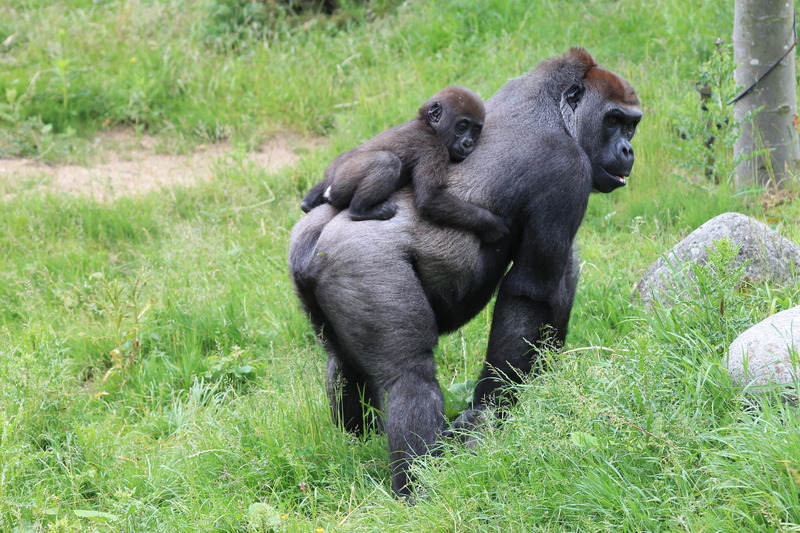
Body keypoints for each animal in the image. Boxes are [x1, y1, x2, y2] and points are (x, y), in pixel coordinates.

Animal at [300, 86, 508, 243]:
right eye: (462, 127)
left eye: (476, 130)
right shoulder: (432, 148)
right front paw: (492, 224)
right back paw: (360, 211)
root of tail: (330, 186)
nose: (468, 144)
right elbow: (429, 199)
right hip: (342, 180)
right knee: (387, 162)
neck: (428, 126)